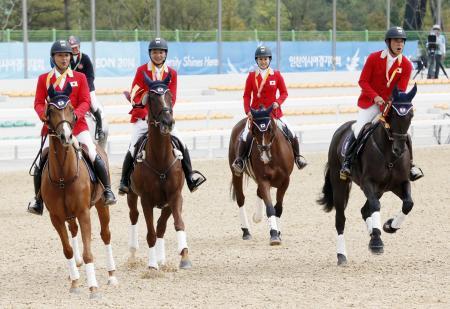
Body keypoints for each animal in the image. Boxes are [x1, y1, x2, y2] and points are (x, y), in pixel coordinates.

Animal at [40, 83, 118, 298]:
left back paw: (112, 275)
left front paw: (93, 288)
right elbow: (67, 249)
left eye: (71, 109)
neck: (63, 176)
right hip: (69, 215)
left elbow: (88, 251)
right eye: (51, 111)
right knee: (73, 231)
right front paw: (74, 283)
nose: (66, 136)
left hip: (101, 205)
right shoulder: (56, 217)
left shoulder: (84, 213)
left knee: (106, 234)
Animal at [125, 71, 192, 268]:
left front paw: (184, 256)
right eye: (153, 98)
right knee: (134, 216)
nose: (168, 122)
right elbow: (151, 233)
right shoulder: (146, 200)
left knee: (161, 226)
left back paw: (161, 258)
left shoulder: (174, 197)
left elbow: (175, 224)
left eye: (169, 96)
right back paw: (133, 252)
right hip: (132, 195)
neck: (160, 159)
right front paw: (152, 265)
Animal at [229, 104, 296, 244]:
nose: (264, 156)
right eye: (254, 130)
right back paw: (246, 231)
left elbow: (278, 208)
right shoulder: (264, 180)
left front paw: (277, 232)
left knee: (258, 193)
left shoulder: (285, 181)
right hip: (236, 174)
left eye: (270, 129)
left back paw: (257, 216)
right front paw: (274, 234)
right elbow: (270, 208)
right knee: (241, 199)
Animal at [316, 85, 418, 264]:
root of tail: (341, 129)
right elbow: (376, 206)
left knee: (365, 210)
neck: (389, 155)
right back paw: (342, 255)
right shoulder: (368, 183)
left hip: (381, 190)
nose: (399, 149)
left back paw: (372, 233)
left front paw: (390, 226)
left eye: (411, 115)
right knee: (341, 219)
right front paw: (377, 241)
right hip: (339, 182)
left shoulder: (400, 183)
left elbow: (408, 204)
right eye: (392, 114)